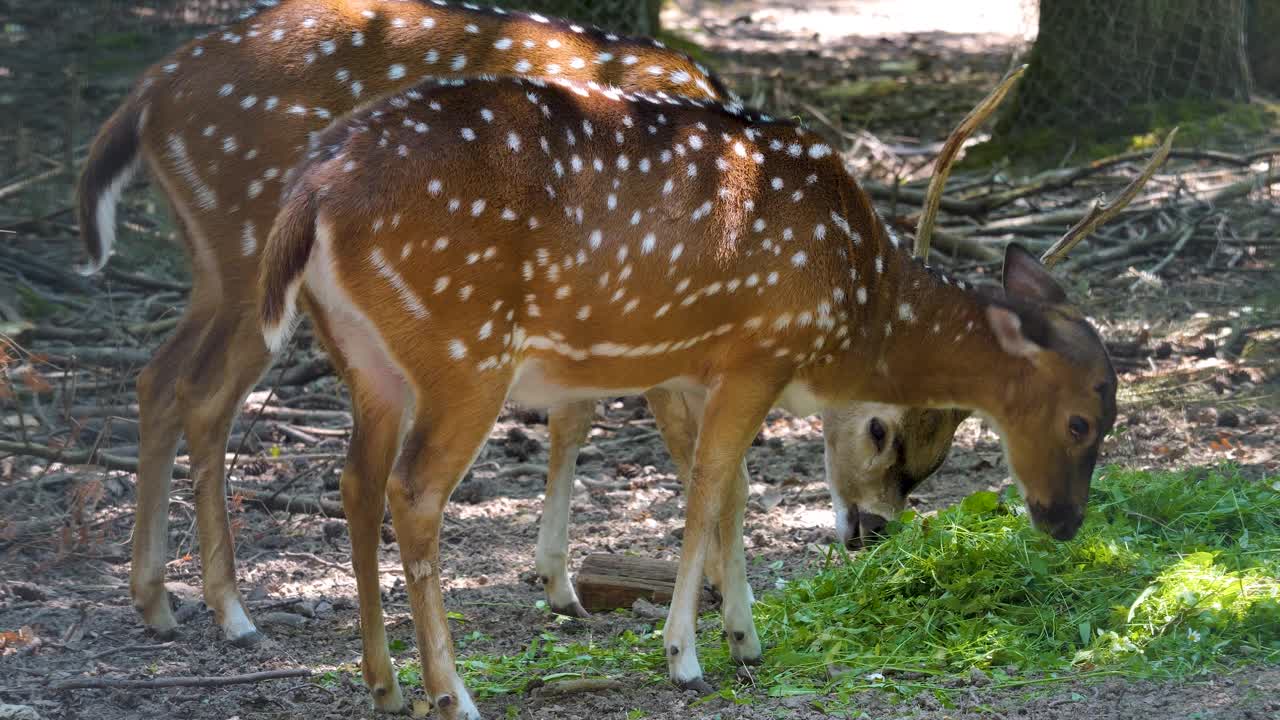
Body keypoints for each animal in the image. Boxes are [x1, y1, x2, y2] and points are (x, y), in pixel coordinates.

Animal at [74, 0, 967, 661]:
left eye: (932, 461)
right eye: (883, 430)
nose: (871, 532)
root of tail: (145, 96)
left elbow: (578, 417)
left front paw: (561, 581)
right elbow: (704, 462)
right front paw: (712, 603)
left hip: (216, 263)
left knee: (158, 377)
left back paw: (158, 602)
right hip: (247, 248)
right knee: (202, 393)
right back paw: (229, 611)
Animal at [257, 75, 1121, 712]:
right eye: (1082, 423)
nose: (1065, 520)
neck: (855, 301)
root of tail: (312, 190)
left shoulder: (696, 368)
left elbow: (733, 489)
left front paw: (745, 636)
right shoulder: (756, 350)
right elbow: (707, 486)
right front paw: (684, 654)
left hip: (365, 359)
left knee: (356, 481)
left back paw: (383, 684)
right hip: (464, 350)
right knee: (414, 491)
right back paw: (452, 694)